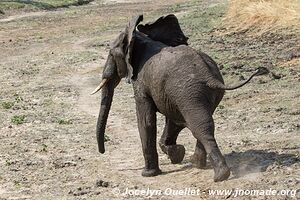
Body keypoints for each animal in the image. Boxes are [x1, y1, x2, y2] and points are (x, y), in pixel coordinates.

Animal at [92, 14, 270, 182]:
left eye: (110, 53)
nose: (102, 151)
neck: (141, 38)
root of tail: (210, 77)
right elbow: (174, 120)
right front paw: (177, 155)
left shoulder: (141, 83)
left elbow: (146, 120)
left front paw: (149, 174)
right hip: (197, 94)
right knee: (204, 122)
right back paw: (197, 163)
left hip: (189, 92)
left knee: (198, 126)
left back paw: (219, 175)